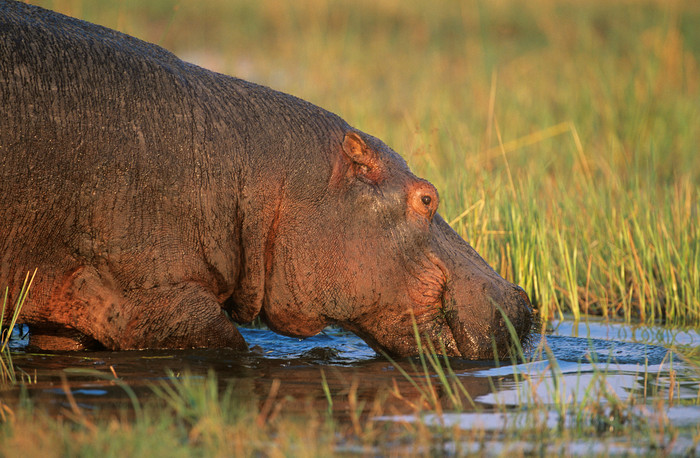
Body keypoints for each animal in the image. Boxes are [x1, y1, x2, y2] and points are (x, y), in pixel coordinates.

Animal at [0, 0, 532, 358]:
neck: (259, 176)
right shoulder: (150, 301)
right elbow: (229, 344)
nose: (522, 300)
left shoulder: (64, 316)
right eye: (427, 198)